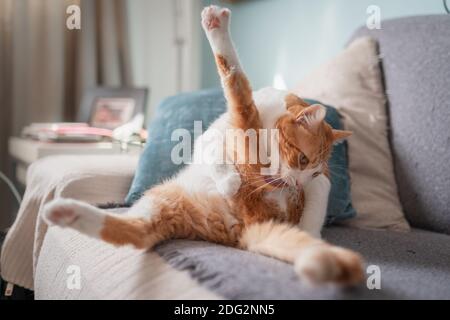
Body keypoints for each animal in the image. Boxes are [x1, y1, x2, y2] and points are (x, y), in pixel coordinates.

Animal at [42, 5, 364, 284]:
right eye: (302, 160)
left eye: (313, 170)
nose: (296, 186)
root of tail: (246, 223)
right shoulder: (212, 137)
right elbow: (214, 153)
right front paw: (229, 179)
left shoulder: (315, 179)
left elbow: (320, 193)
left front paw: (309, 227)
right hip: (171, 195)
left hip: (228, 132)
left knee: (233, 76)